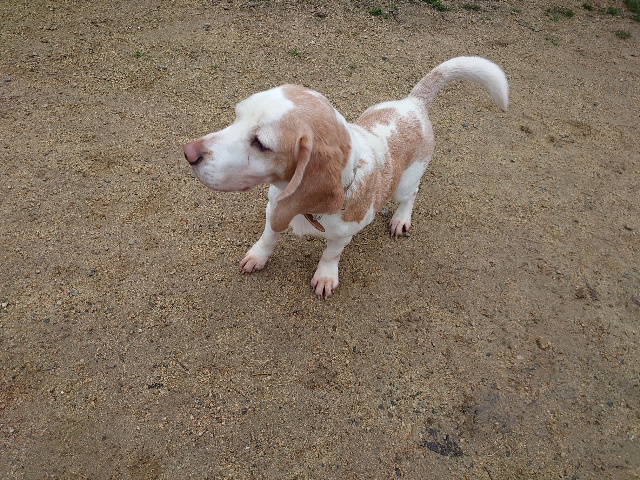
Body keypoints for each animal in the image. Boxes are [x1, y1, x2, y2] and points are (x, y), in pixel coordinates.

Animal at [184, 56, 508, 298]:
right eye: (237, 116)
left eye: (261, 144)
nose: (189, 153)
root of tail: (413, 103)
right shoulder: (274, 206)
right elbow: (269, 235)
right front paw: (258, 256)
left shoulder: (345, 233)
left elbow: (331, 254)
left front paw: (325, 277)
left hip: (405, 184)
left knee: (411, 194)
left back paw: (401, 218)